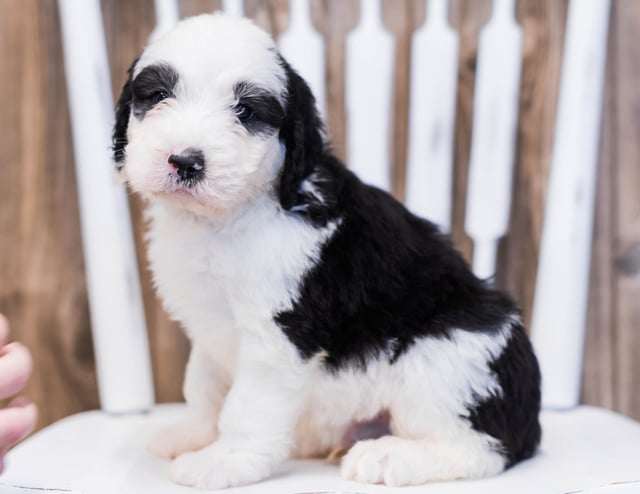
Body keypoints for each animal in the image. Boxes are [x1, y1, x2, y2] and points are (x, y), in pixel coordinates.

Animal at [111, 12, 540, 490]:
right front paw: (192, 434)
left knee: (481, 447)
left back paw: (389, 456)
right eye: (158, 95)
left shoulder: (278, 335)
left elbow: (246, 406)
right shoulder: (209, 326)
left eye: (245, 111)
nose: (185, 161)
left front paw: (224, 461)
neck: (232, 215)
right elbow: (201, 385)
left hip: (449, 355)